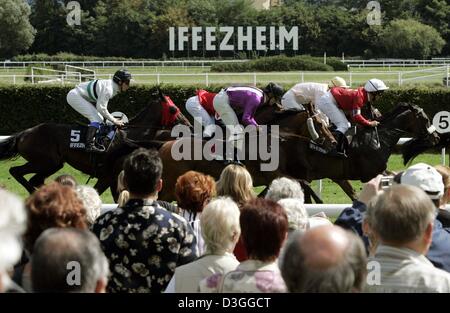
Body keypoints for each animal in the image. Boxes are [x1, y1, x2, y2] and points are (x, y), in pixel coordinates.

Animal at [0, 93, 192, 195]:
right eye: (173, 109)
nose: (188, 125)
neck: (130, 138)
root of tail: (24, 133)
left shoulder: (111, 180)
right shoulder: (107, 177)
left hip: (52, 164)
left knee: (34, 179)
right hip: (45, 161)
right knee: (16, 171)